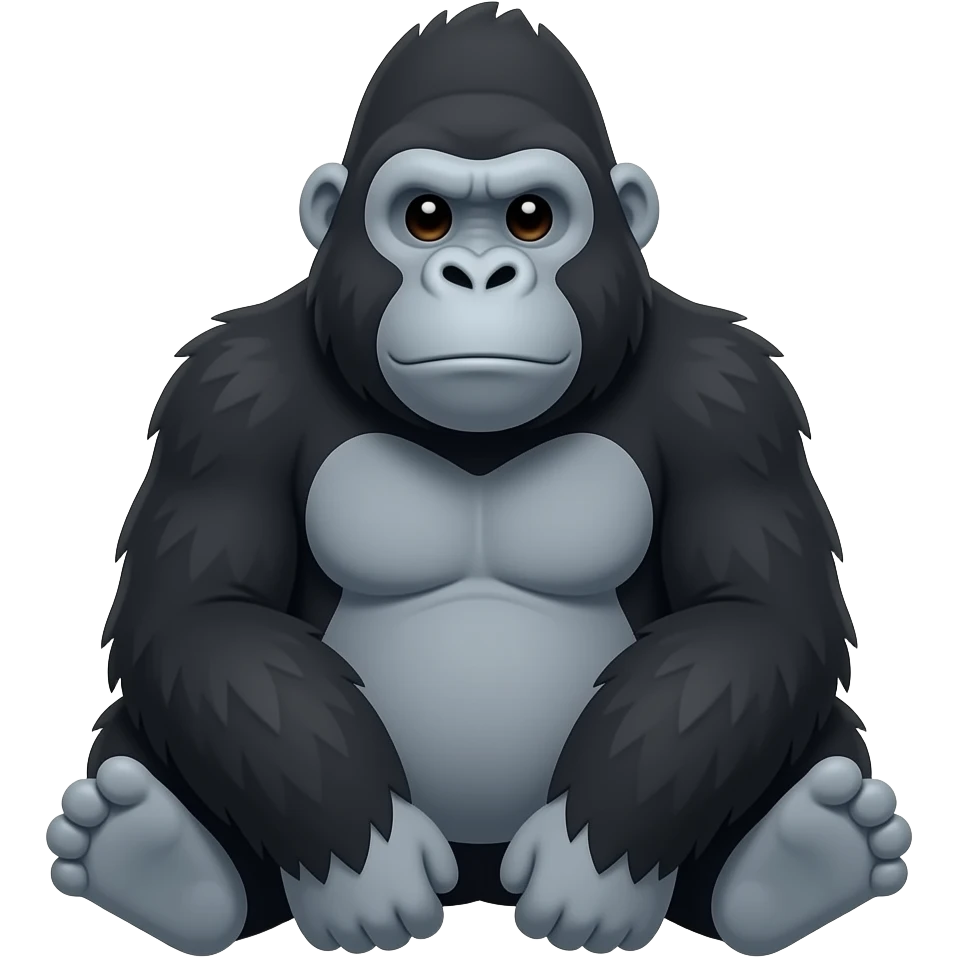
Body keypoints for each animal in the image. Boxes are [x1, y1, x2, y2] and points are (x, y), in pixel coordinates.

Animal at [46, 5, 911, 955]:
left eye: (531, 218)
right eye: (426, 218)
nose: (479, 273)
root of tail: (479, 879)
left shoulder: (727, 394)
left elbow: (754, 613)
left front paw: (591, 866)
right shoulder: (230, 394)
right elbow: (204, 614)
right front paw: (367, 866)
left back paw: (801, 853)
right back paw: (157, 853)